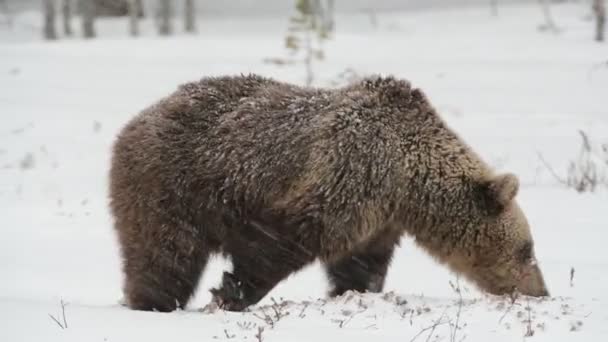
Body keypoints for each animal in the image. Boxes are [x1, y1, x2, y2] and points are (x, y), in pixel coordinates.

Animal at [109, 73, 552, 312]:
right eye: (527, 249)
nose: (541, 291)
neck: (407, 180)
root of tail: (136, 119)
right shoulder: (350, 170)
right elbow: (285, 239)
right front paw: (231, 292)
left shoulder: (378, 216)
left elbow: (360, 263)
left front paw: (355, 291)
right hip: (171, 185)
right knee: (166, 255)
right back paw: (153, 302)